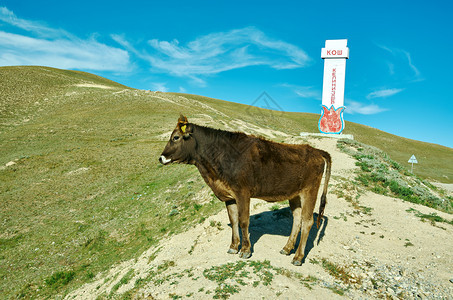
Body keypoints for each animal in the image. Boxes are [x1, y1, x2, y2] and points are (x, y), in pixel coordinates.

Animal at [160, 115, 332, 264]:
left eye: (176, 137)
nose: (161, 158)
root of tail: (314, 150)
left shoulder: (242, 192)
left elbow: (243, 221)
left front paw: (245, 250)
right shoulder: (229, 196)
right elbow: (233, 220)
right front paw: (233, 247)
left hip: (310, 190)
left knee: (307, 221)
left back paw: (298, 257)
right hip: (294, 194)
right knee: (297, 218)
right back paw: (287, 248)